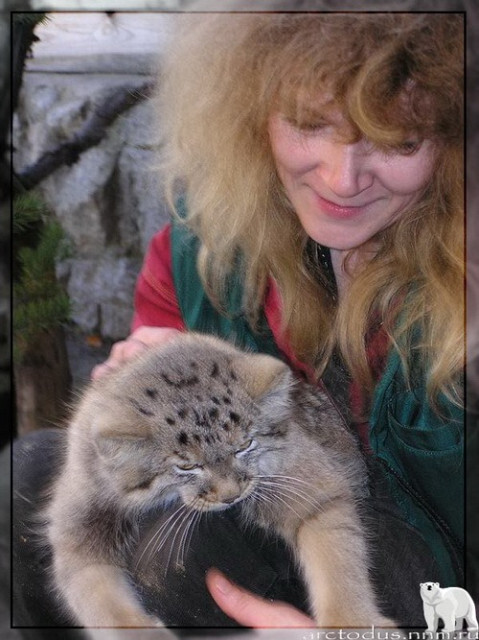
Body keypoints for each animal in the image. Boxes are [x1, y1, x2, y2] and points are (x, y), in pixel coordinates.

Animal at [46, 336, 398, 632]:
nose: (231, 495)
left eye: (244, 445)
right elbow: (92, 590)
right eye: (187, 466)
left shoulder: (304, 479)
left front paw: (352, 621)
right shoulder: (82, 512)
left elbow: (336, 557)